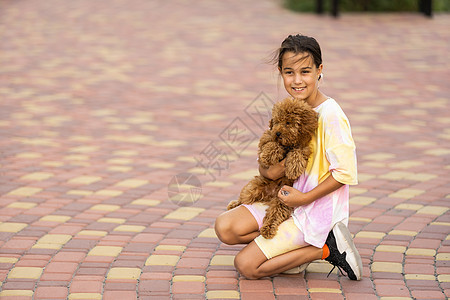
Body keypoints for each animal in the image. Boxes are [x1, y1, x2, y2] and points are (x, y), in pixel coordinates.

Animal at [227, 98, 318, 239]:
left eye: (288, 122)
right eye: (276, 121)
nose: (278, 133)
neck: (288, 143)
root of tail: (269, 196)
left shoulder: (304, 148)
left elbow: (297, 152)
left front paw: (293, 168)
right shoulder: (266, 139)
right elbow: (272, 144)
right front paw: (268, 155)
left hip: (283, 200)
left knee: (274, 215)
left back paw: (267, 229)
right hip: (251, 189)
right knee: (244, 199)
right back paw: (234, 204)